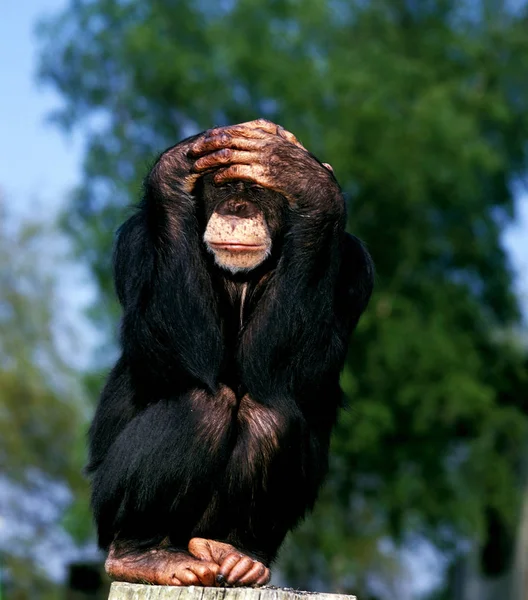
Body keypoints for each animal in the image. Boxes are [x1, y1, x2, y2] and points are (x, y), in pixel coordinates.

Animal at [86, 117, 374, 584]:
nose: (237, 208)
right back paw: (141, 553)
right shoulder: (135, 241)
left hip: (209, 531)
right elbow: (167, 355)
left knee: (271, 413)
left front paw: (304, 177)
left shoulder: (355, 265)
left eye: (256, 189)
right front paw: (177, 166)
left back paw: (238, 552)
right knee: (203, 406)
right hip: (108, 507)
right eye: (223, 187)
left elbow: (295, 372)